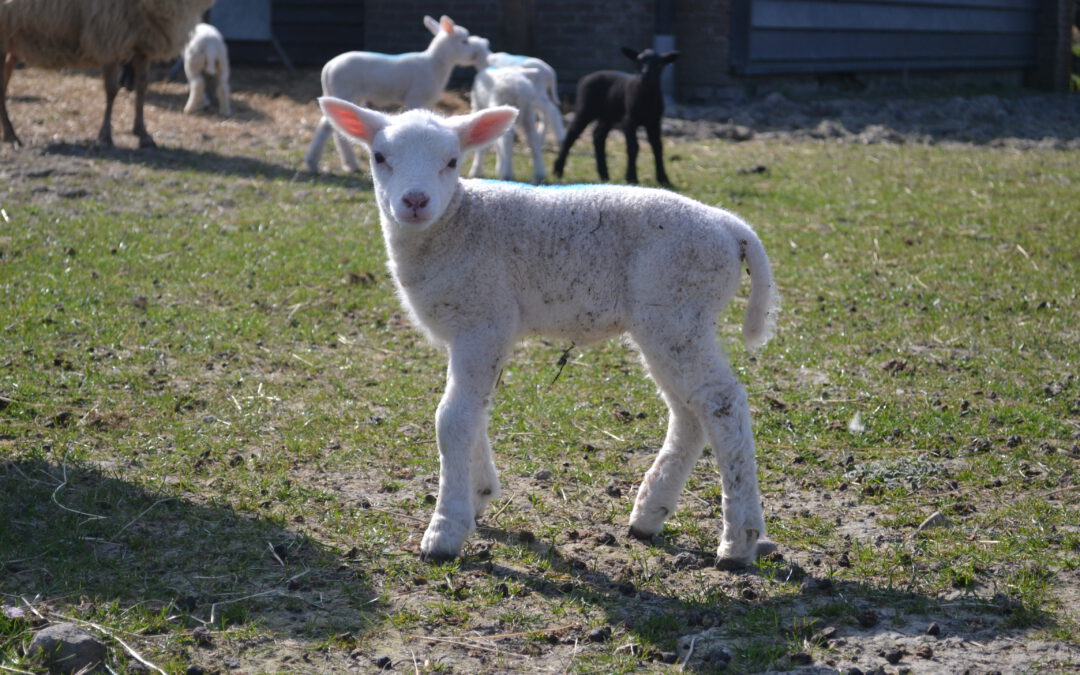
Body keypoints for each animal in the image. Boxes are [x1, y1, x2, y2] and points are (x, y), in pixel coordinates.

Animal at [0, 0, 212, 146]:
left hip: (11, 45)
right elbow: (111, 90)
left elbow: (142, 87)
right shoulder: (109, 34)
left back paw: (9, 135)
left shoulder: (143, 41)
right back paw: (12, 136)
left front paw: (143, 134)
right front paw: (105, 137)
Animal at [306, 16, 488, 173]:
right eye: (464, 41)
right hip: (344, 91)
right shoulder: (415, 96)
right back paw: (335, 163)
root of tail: (328, 67)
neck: (435, 64)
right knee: (329, 127)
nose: (475, 54)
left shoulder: (427, 101)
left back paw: (327, 162)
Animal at [315, 96, 781, 570]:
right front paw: (480, 494)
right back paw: (649, 515)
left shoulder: (483, 318)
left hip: (678, 307)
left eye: (451, 161)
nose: (414, 200)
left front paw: (444, 531)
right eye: (379, 157)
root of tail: (732, 228)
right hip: (671, 321)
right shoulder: (473, 327)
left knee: (721, 402)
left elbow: (453, 417)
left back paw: (738, 541)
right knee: (689, 411)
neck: (457, 223)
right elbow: (475, 409)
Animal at [552, 47, 678, 185]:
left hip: (608, 115)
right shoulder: (629, 120)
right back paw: (558, 169)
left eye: (659, 64)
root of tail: (588, 76)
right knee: (572, 134)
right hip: (585, 108)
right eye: (638, 62)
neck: (646, 96)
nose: (646, 75)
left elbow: (658, 147)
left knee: (598, 136)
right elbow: (633, 147)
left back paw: (604, 175)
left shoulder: (654, 122)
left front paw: (664, 179)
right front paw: (631, 177)